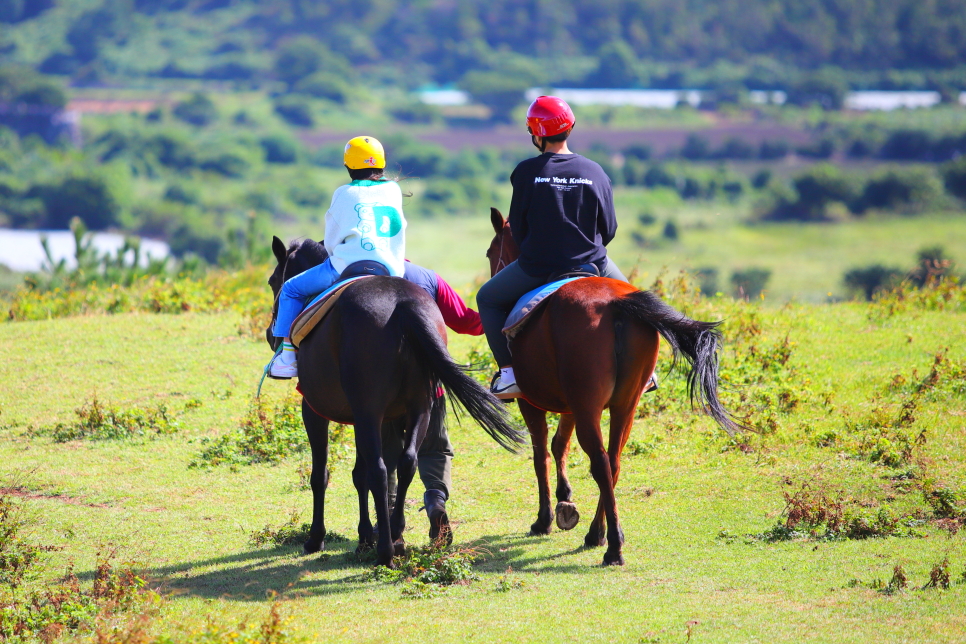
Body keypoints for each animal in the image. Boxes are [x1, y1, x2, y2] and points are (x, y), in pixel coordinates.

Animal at [488, 209, 744, 568]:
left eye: (490, 252)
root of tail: (617, 304)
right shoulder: (570, 405)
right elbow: (559, 445)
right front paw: (565, 499)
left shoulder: (532, 402)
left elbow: (541, 455)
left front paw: (545, 518)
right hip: (624, 405)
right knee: (613, 461)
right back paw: (599, 534)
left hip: (588, 407)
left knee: (600, 462)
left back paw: (612, 547)